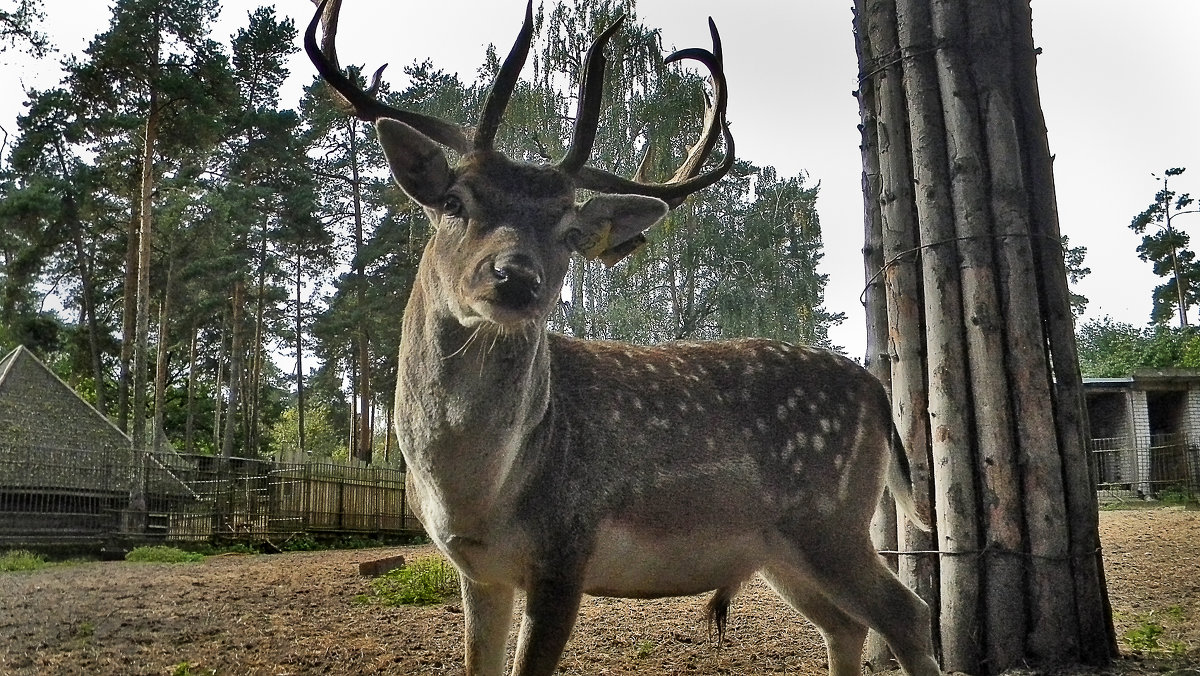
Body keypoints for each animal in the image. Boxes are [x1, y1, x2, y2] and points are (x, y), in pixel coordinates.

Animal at [304, 2, 940, 672]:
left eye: (568, 230)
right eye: (454, 200)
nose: (516, 276)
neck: (474, 493)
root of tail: (877, 388)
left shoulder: (567, 547)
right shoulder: (478, 570)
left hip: (830, 517)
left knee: (905, 612)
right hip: (777, 550)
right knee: (844, 624)